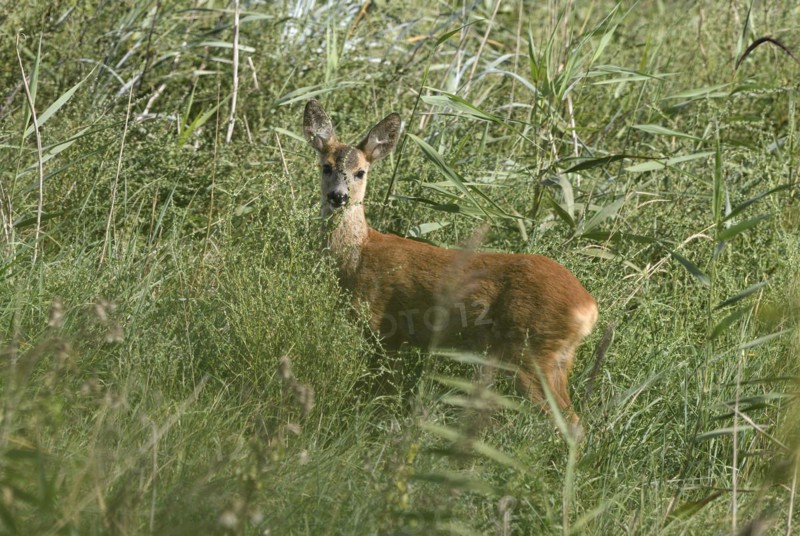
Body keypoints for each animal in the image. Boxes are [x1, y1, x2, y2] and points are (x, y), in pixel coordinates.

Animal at [303, 99, 598, 430]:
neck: (359, 254)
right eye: (326, 166)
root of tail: (588, 308)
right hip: (556, 357)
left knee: (571, 423)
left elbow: (382, 391)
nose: (338, 196)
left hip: (531, 351)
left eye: (360, 172)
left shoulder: (382, 325)